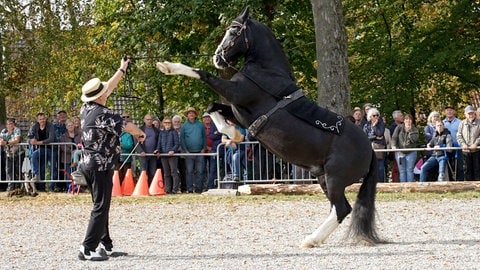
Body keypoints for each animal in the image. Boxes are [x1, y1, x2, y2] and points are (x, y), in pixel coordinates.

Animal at [158, 6, 382, 247]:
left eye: (234, 31)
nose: (218, 57)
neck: (267, 73)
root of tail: (369, 150)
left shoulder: (236, 94)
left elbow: (203, 75)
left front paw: (168, 66)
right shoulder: (239, 112)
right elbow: (212, 107)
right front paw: (234, 135)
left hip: (335, 179)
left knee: (341, 208)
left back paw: (310, 239)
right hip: (324, 178)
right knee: (338, 209)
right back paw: (315, 239)